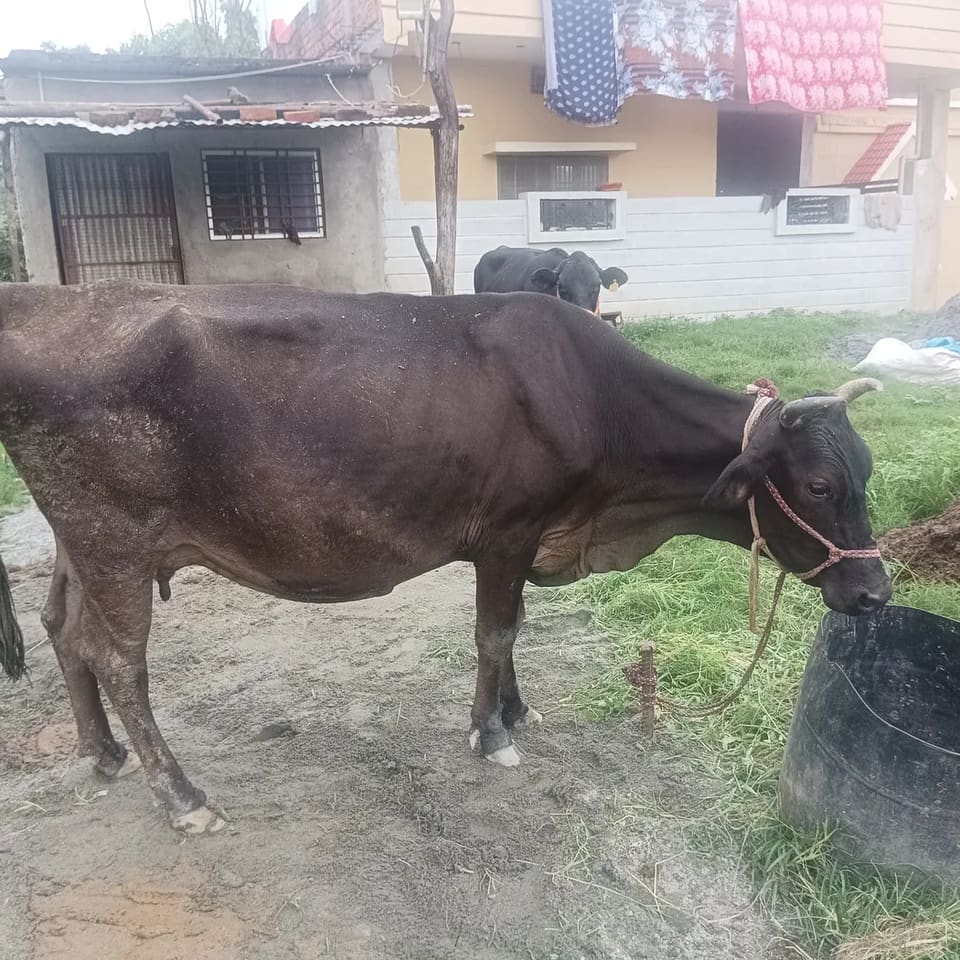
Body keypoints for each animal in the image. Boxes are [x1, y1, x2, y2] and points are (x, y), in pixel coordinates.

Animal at [0, 281, 890, 835]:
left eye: (869, 470)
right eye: (818, 484)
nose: (876, 591)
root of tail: (42, 299)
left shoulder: (523, 540)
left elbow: (514, 628)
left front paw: (516, 710)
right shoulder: (507, 530)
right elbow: (496, 632)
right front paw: (490, 733)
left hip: (81, 544)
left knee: (62, 628)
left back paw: (103, 755)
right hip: (114, 539)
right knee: (118, 659)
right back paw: (183, 797)